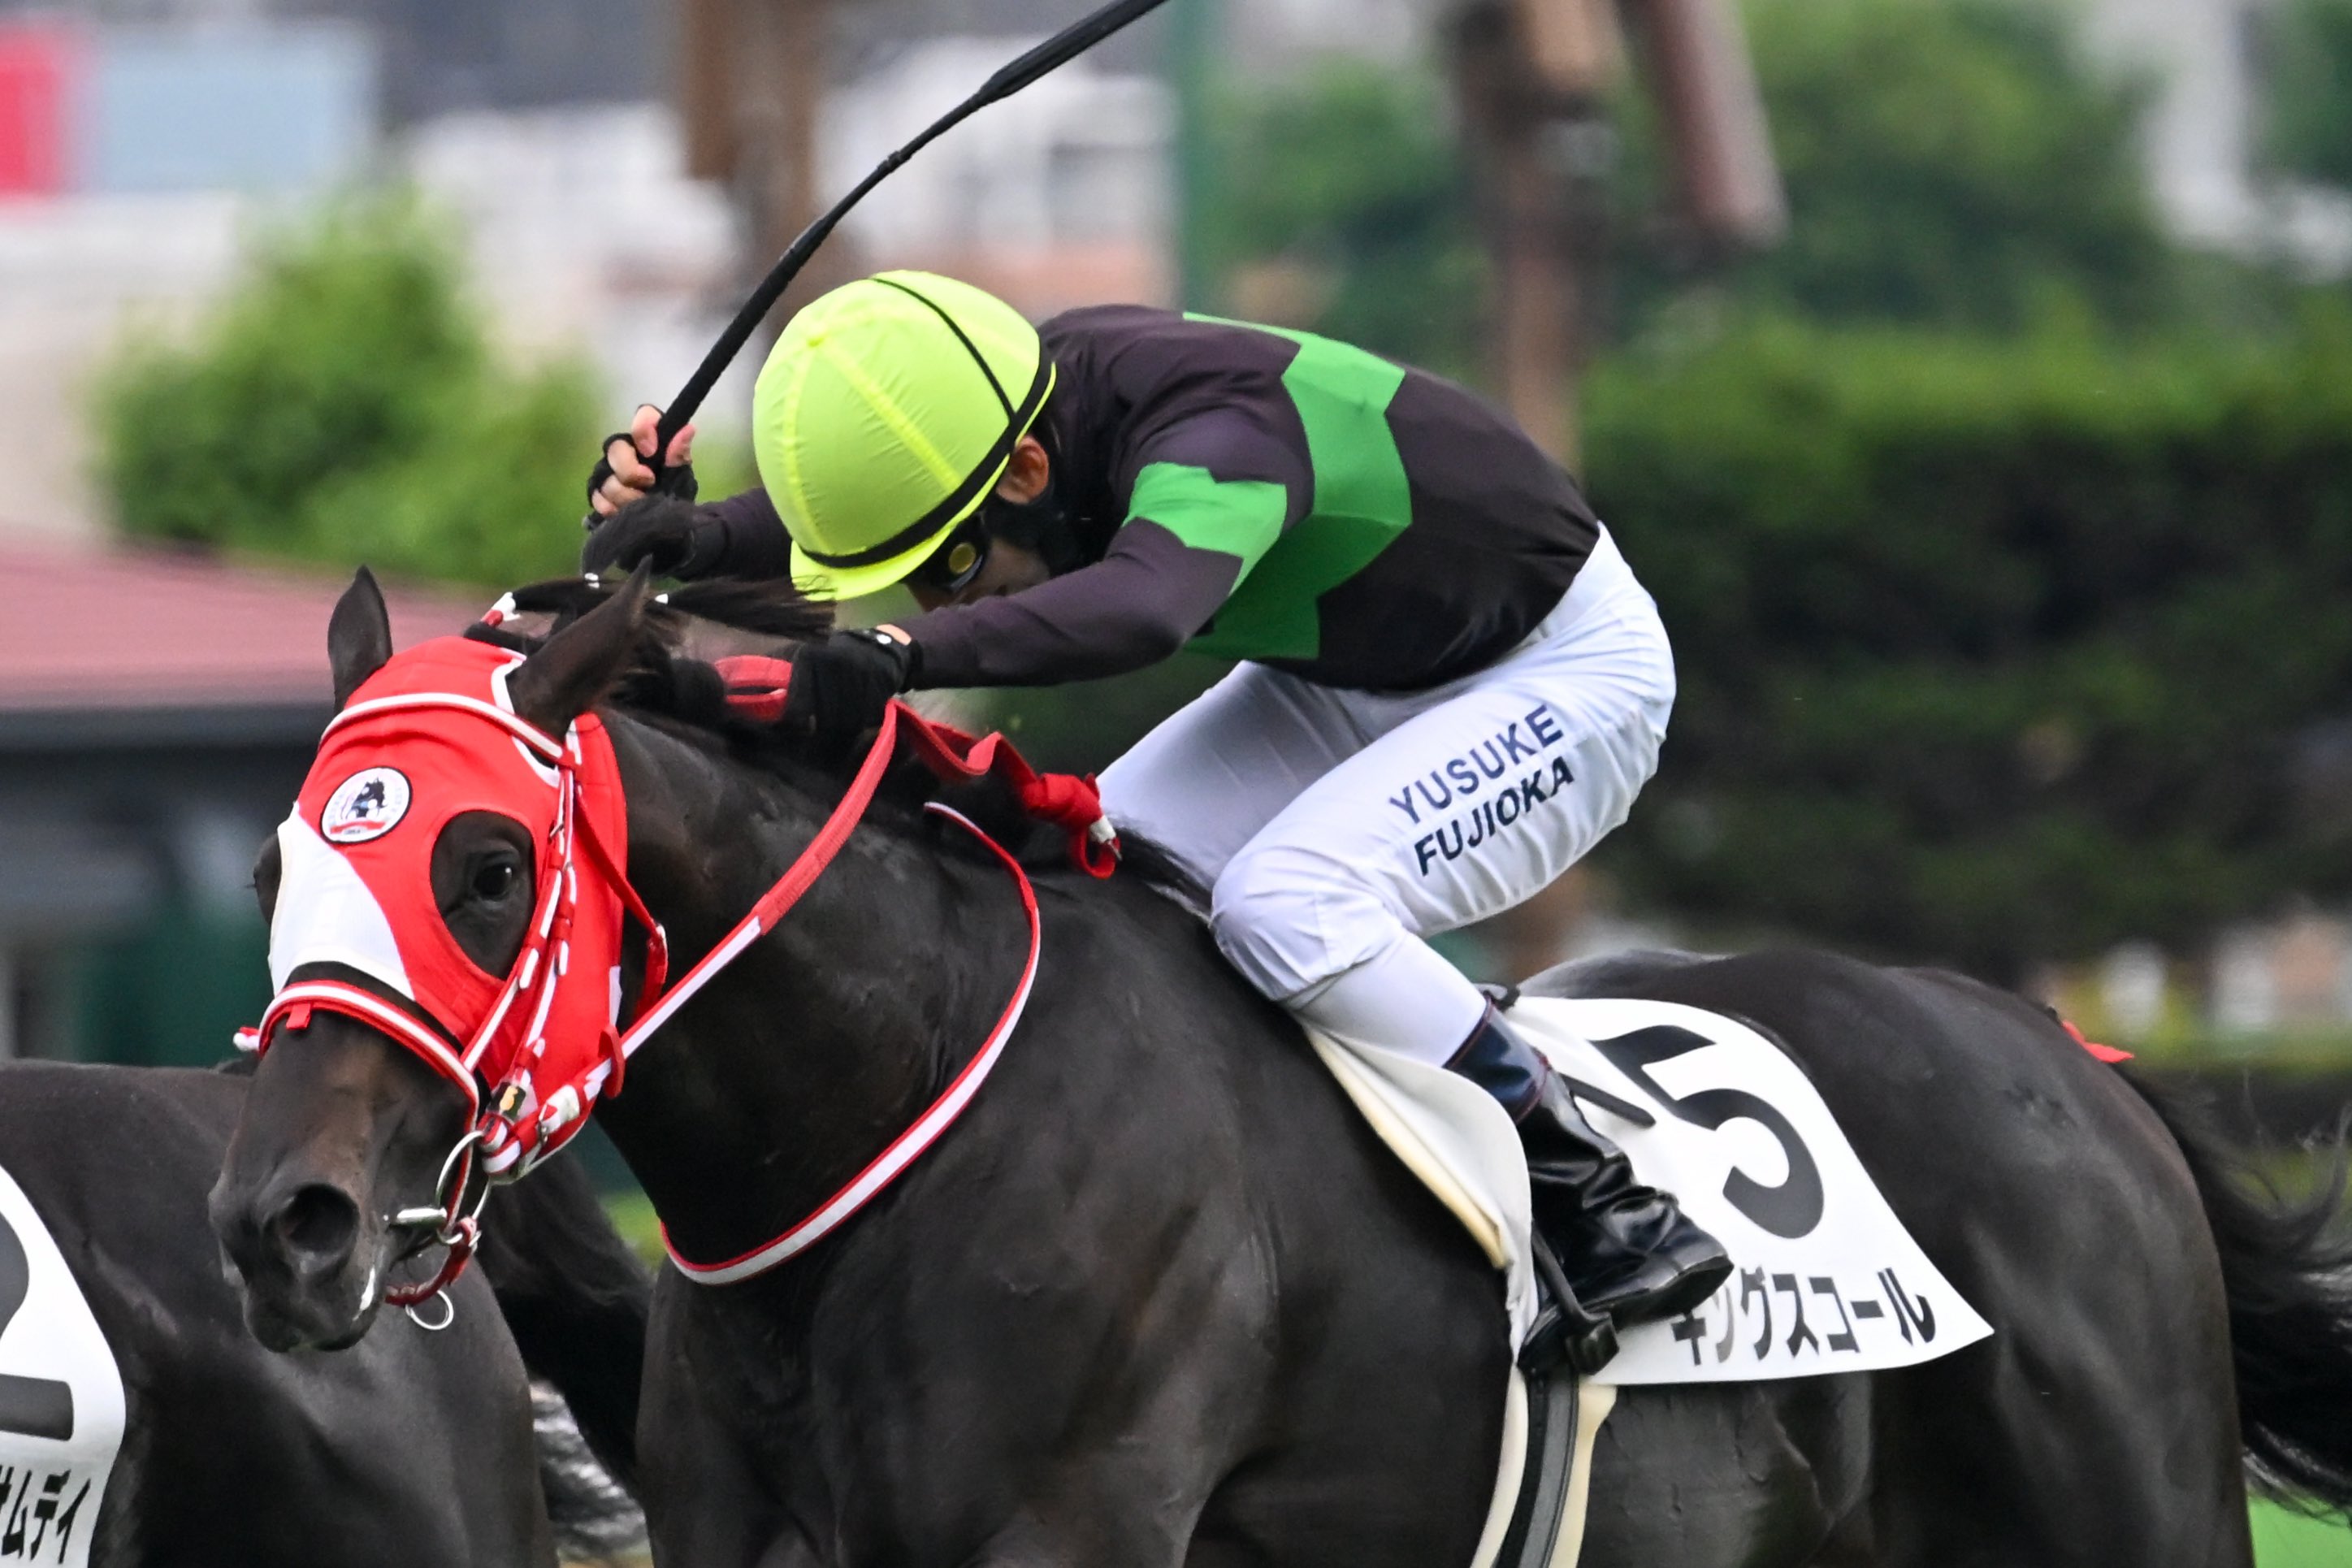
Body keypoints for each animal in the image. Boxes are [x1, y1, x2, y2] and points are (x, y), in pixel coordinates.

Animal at [211, 568, 2352, 1566]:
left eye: (487, 864)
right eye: (276, 862)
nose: (278, 1223)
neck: (896, 1117)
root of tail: (2063, 1050)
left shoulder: (1066, 1525)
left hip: (2126, 1506)